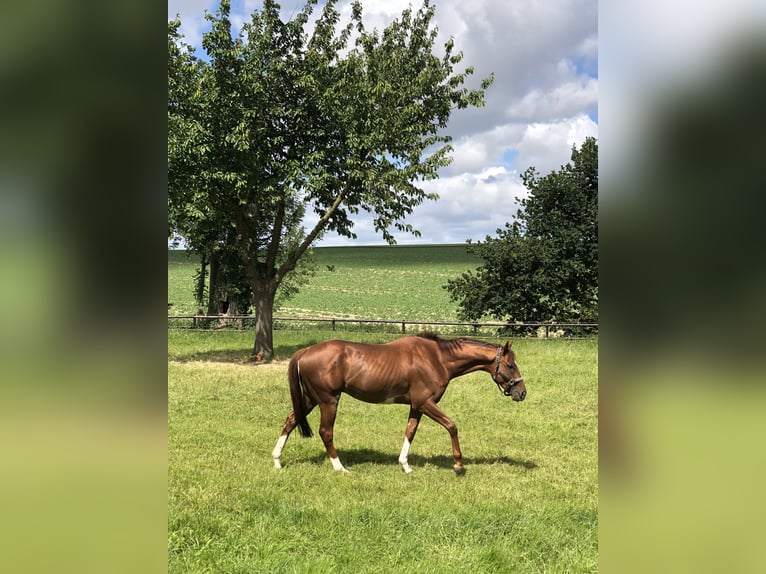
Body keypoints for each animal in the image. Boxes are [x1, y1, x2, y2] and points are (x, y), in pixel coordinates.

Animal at [272, 332, 528, 476]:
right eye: (510, 365)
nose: (522, 392)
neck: (437, 358)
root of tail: (305, 351)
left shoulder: (416, 406)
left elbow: (410, 432)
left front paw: (405, 465)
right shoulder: (426, 403)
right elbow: (452, 426)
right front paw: (458, 465)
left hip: (310, 399)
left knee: (290, 421)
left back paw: (277, 461)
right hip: (328, 401)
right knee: (326, 432)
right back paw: (340, 468)